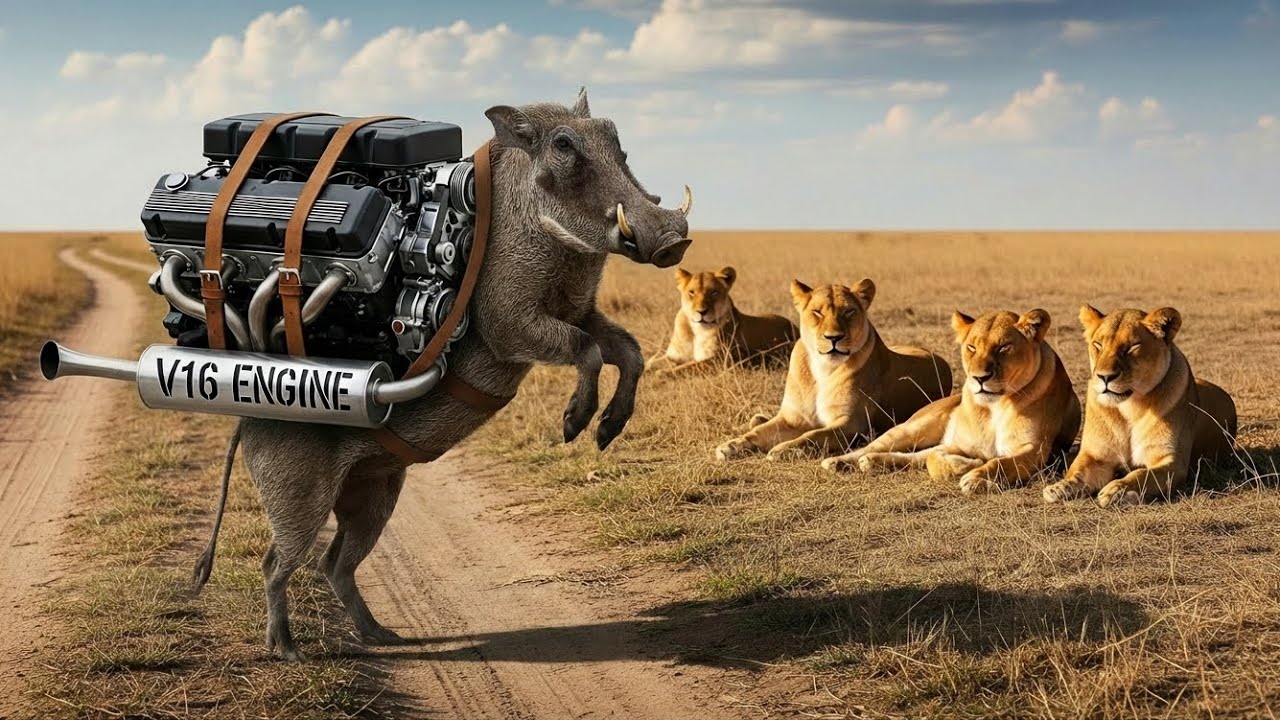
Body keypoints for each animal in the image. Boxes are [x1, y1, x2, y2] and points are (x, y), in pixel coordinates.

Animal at [645, 266, 798, 374]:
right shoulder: (674, 355)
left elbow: (687, 367)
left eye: (713, 292)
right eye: (691, 292)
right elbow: (651, 362)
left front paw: (663, 372)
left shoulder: (719, 361)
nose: (702, 312)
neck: (696, 331)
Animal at [715, 279, 952, 462]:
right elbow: (758, 432)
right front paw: (730, 446)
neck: (823, 369)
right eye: (817, 312)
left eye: (848, 312)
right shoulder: (793, 418)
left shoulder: (852, 423)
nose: (833, 338)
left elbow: (814, 434)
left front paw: (783, 449)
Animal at [821, 309, 1081, 495]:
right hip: (914, 427)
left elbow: (999, 463)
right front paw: (969, 466)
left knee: (914, 456)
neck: (994, 406)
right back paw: (839, 462)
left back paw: (873, 462)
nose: (980, 378)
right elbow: (935, 460)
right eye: (972, 347)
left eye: (1004, 347)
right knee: (875, 447)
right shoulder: (957, 444)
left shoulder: (1034, 451)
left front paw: (975, 478)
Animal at [1042, 305, 1237, 508]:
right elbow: (1078, 471)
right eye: (1098, 344)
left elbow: (1142, 474)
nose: (1105, 376)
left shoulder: (1172, 461)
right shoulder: (1097, 455)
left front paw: (1117, 490)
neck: (1130, 407)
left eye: (1132, 347)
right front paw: (1059, 487)